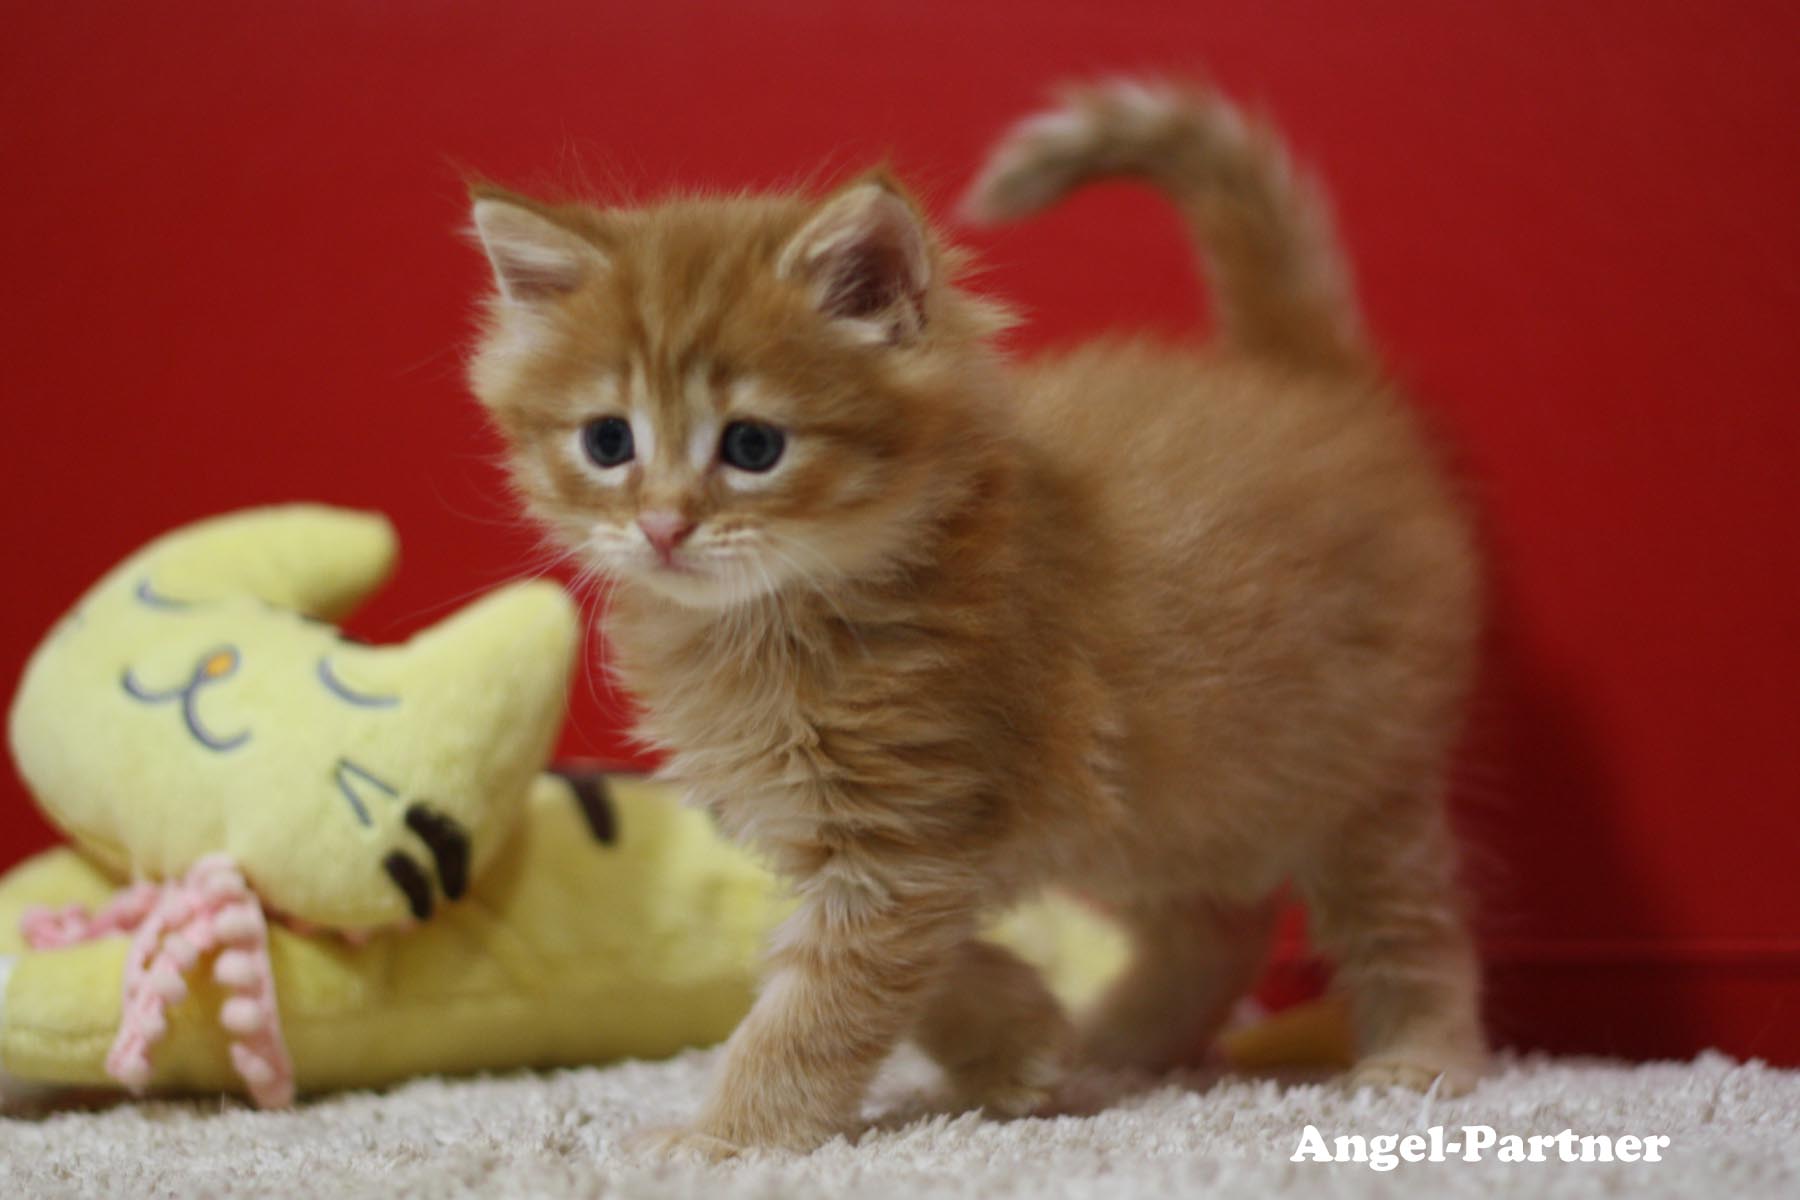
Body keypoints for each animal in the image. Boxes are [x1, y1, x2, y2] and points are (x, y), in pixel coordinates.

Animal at [471, 79, 1483, 1158]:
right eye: (607, 440)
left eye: (751, 446)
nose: (662, 527)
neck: (785, 620)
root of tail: (1316, 387)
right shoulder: (865, 838)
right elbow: (908, 965)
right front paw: (1018, 1041)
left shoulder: (903, 836)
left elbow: (815, 1011)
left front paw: (724, 1138)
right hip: (1167, 793)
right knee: (1221, 922)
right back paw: (1120, 1043)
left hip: (1359, 770)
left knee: (1412, 921)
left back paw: (1419, 1060)